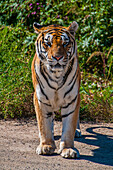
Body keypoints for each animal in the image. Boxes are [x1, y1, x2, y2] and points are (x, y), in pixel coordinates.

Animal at [31, 20, 81, 158]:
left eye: (65, 43)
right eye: (48, 44)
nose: (57, 57)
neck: (56, 75)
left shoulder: (72, 99)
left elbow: (69, 127)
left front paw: (68, 149)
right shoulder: (41, 99)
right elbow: (44, 125)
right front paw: (46, 146)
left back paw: (77, 131)